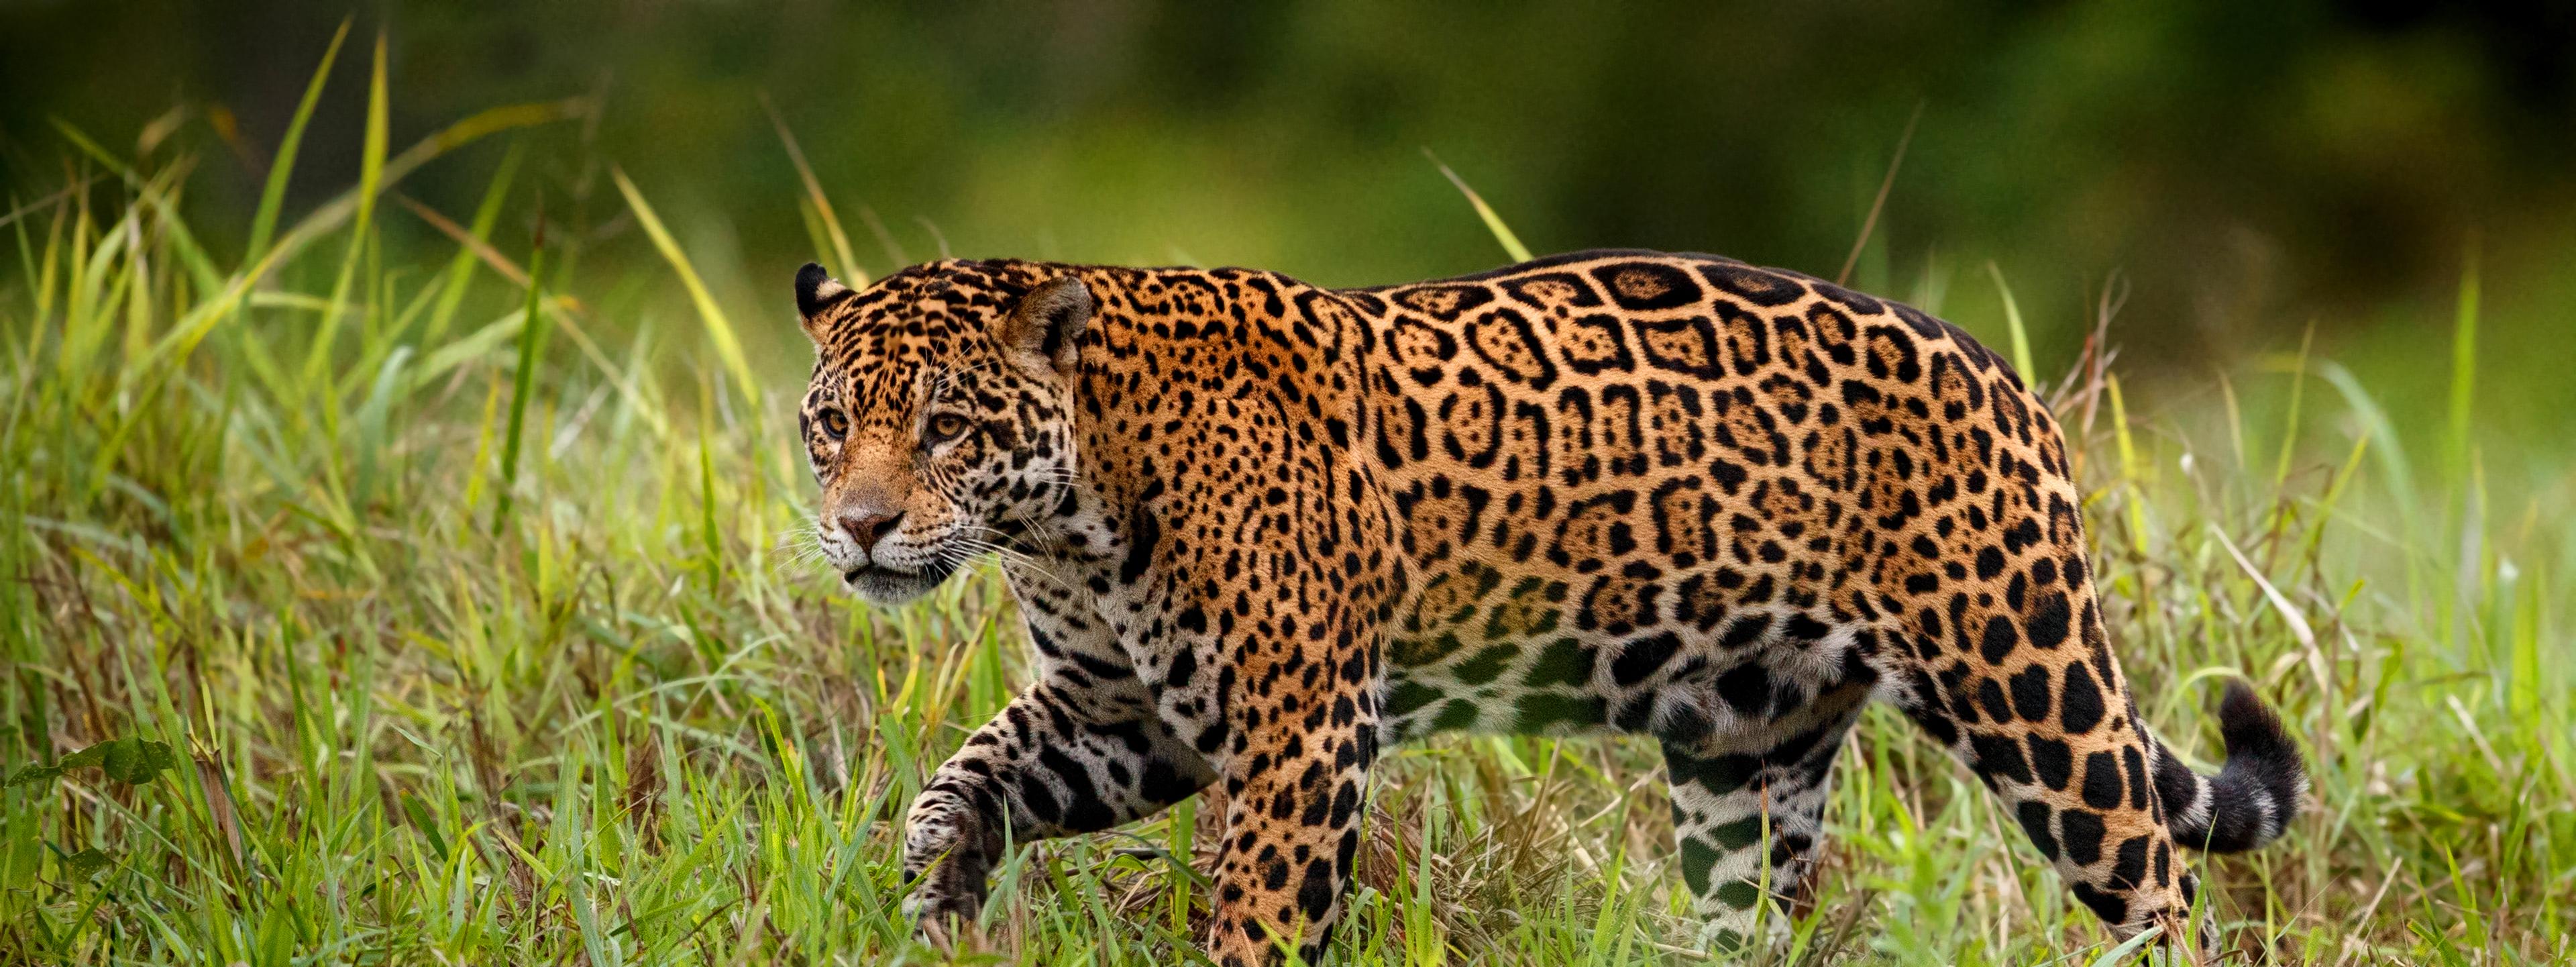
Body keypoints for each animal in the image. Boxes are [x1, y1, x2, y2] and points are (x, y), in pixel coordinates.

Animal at [789, 249, 2306, 965]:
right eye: (829, 426)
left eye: (944, 427)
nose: (858, 527)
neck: (1068, 518)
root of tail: (2008, 379)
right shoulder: (1121, 715)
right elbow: (973, 769)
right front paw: (936, 884)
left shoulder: (1297, 730)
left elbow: (1261, 915)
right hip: (1747, 751)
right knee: (1751, 910)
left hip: (2030, 685)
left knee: (2164, 891)